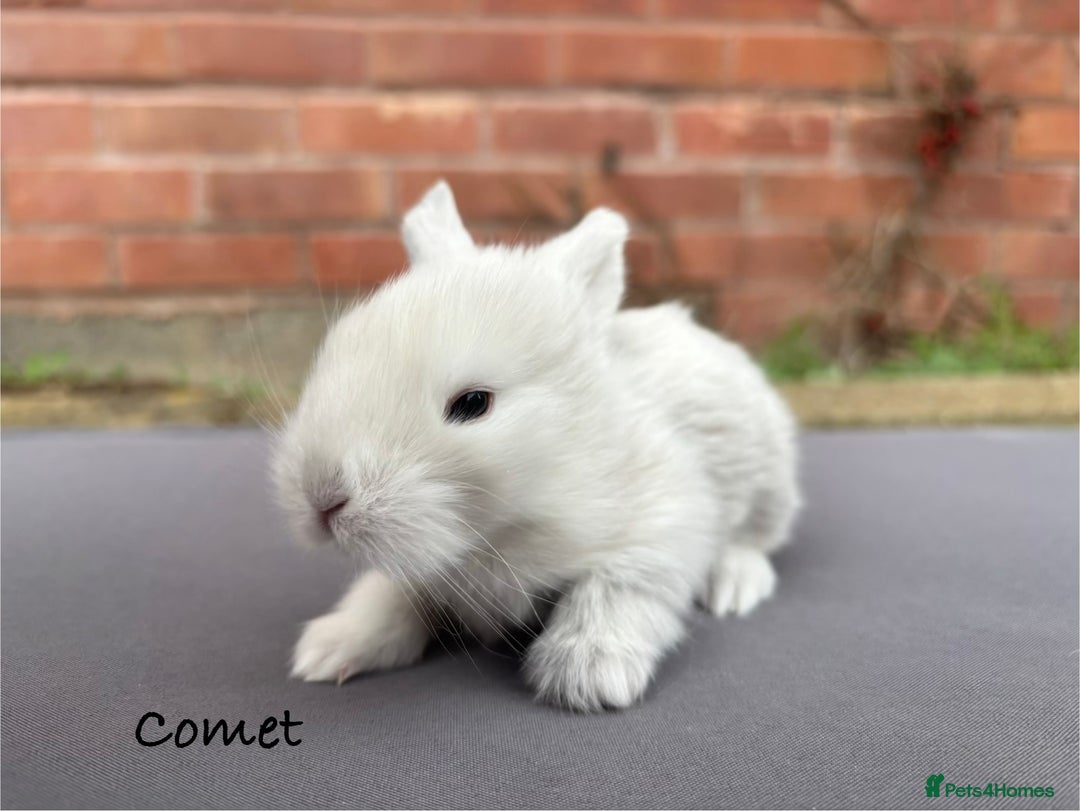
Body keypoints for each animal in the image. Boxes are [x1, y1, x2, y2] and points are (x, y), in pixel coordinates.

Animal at [273, 181, 801, 712]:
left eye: (473, 403)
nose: (322, 500)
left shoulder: (663, 526)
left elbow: (615, 589)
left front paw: (587, 673)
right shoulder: (421, 568)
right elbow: (388, 597)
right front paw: (328, 649)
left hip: (766, 483)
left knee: (753, 540)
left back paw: (735, 586)